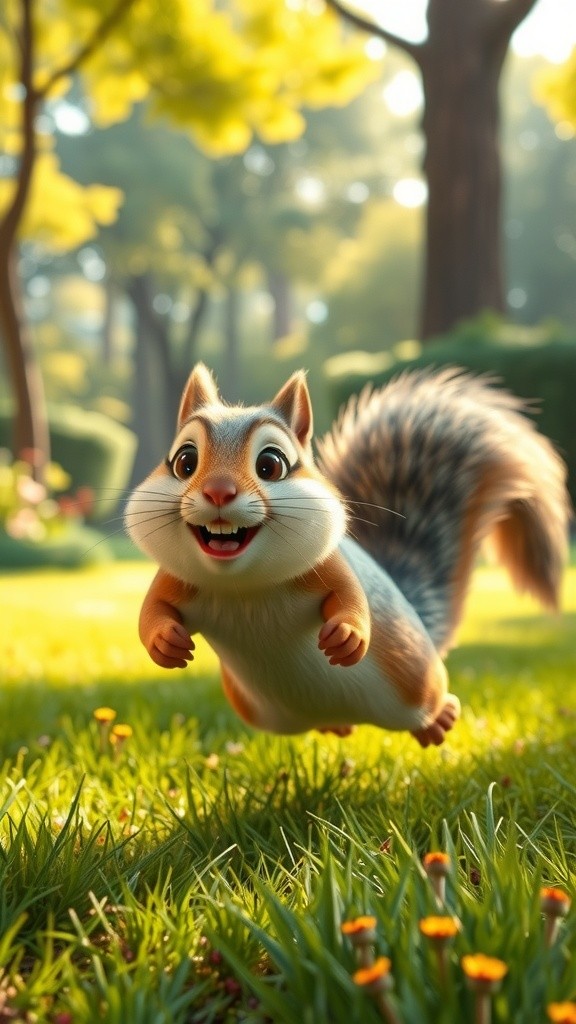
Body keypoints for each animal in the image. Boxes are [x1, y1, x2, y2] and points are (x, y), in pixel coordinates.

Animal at [125, 363, 570, 747]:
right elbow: (153, 610)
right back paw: (336, 726)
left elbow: (350, 597)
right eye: (184, 461)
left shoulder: (329, 565)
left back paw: (438, 720)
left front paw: (348, 635)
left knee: (430, 702)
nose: (218, 491)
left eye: (271, 464)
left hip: (415, 676)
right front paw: (165, 643)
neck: (244, 584)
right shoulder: (175, 579)